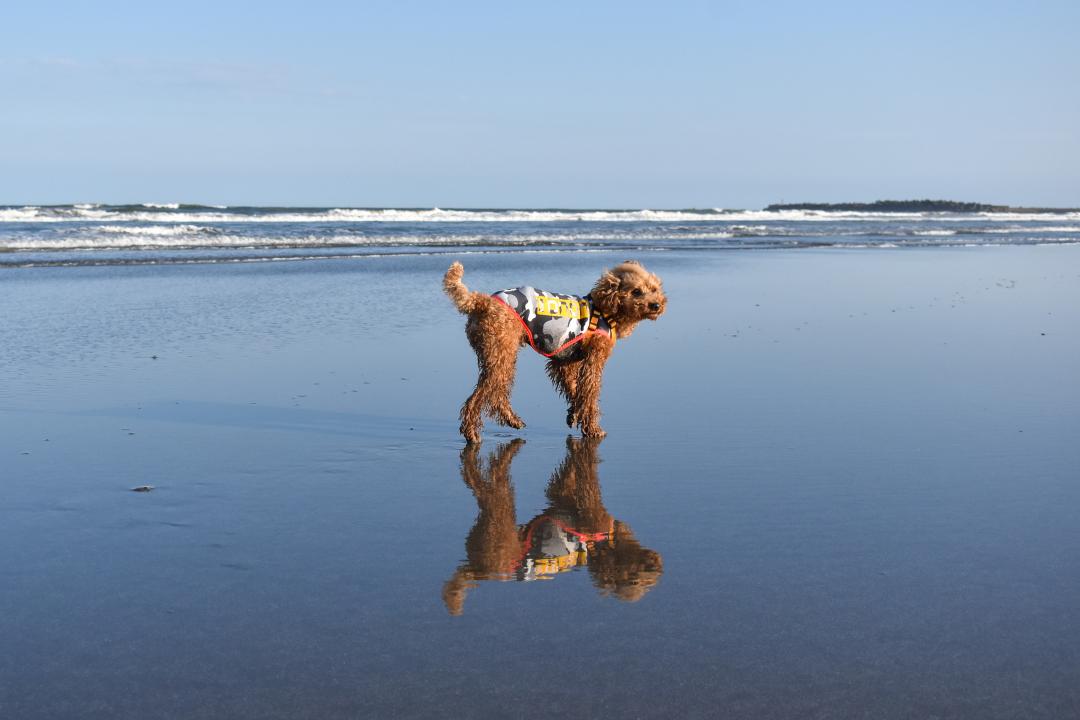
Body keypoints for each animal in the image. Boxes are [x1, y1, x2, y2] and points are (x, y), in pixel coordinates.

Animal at [440, 259, 660, 440]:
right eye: (636, 291)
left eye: (654, 289)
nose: (656, 305)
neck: (605, 311)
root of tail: (481, 301)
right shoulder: (593, 361)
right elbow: (589, 394)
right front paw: (593, 429)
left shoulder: (563, 362)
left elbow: (575, 390)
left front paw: (574, 415)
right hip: (500, 353)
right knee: (480, 397)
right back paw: (471, 433)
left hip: (502, 356)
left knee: (497, 393)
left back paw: (511, 419)